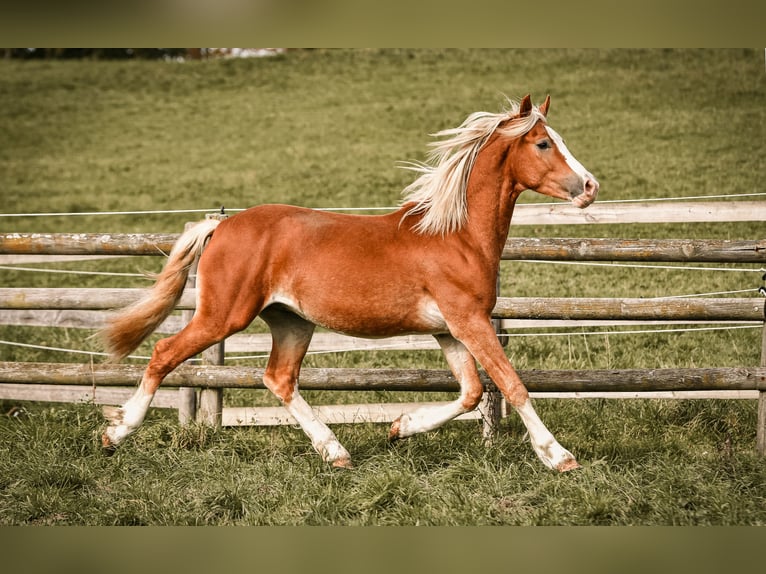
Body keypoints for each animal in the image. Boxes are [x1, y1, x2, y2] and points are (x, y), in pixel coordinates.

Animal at [100, 94, 599, 472]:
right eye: (542, 143)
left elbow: (471, 392)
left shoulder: (449, 330)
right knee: (164, 354)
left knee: (279, 378)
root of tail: (221, 226)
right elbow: (512, 385)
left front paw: (399, 427)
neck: (455, 235)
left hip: (292, 321)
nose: (590, 186)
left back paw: (335, 452)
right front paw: (559, 457)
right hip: (224, 315)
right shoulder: (468, 320)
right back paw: (115, 433)